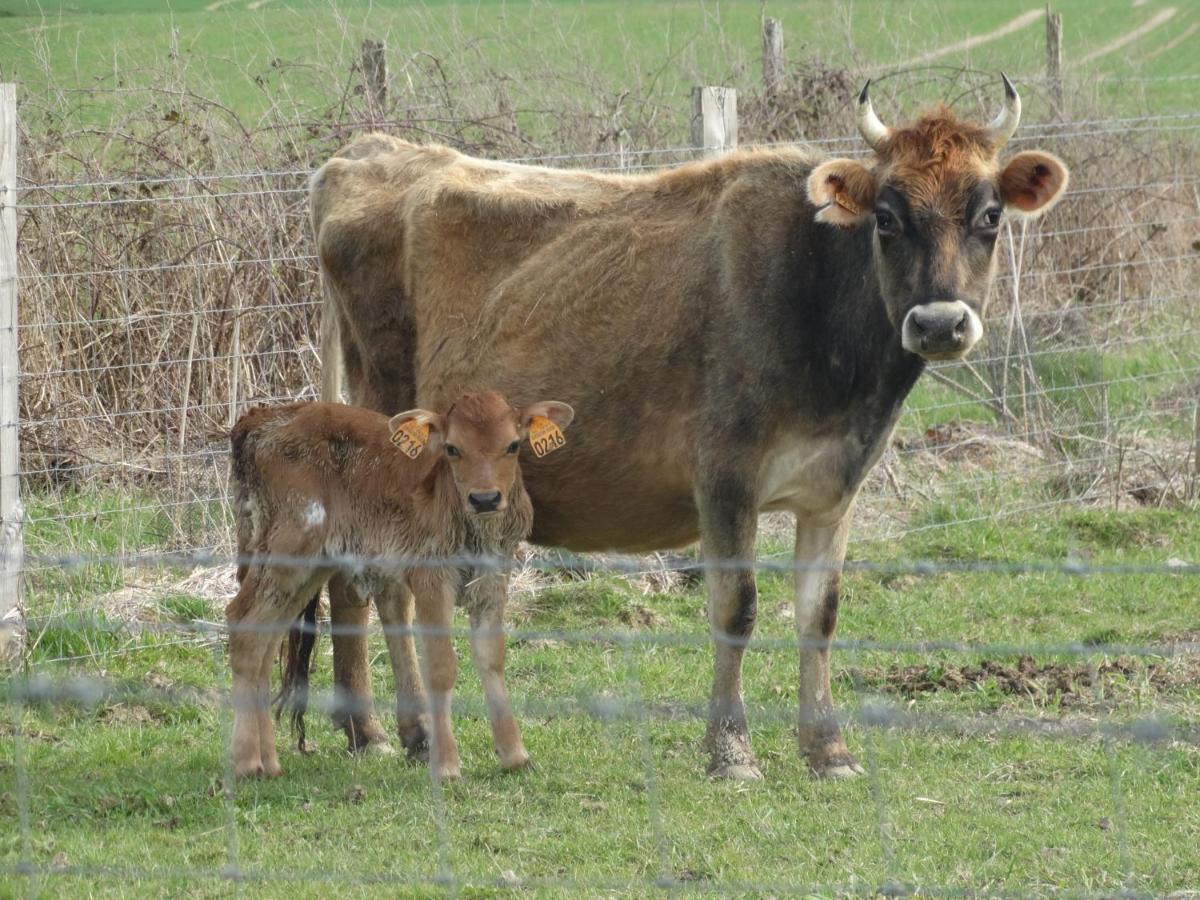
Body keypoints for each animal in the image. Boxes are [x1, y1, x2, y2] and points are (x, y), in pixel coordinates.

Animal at [230, 393, 580, 782]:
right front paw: (446, 765)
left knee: (266, 642)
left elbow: (492, 658)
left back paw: (270, 763)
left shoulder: (493, 580)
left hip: (309, 568)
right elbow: (441, 666)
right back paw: (246, 762)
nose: (485, 498)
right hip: (287, 550)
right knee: (242, 624)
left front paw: (515, 755)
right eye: (452, 448)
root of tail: (257, 420)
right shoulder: (430, 580)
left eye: (513, 445)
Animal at [309, 79, 1070, 782]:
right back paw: (405, 733)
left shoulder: (835, 488)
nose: (939, 324)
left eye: (990, 214)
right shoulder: (724, 476)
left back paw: (370, 729)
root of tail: (367, 152)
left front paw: (828, 749)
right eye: (886, 217)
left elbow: (819, 616)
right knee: (387, 585)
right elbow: (737, 610)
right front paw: (731, 752)